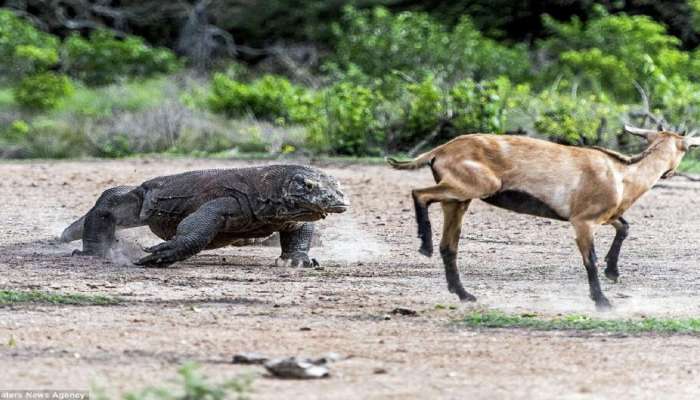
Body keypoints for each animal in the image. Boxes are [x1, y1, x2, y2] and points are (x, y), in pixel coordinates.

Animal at [388, 126, 700, 310]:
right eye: (685, 148)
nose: (670, 172)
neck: (623, 175)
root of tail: (440, 150)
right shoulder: (582, 221)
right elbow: (590, 260)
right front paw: (602, 300)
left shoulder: (603, 215)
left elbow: (624, 227)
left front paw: (613, 272)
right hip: (473, 186)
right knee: (419, 194)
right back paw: (424, 245)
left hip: (458, 201)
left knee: (449, 246)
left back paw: (463, 293)